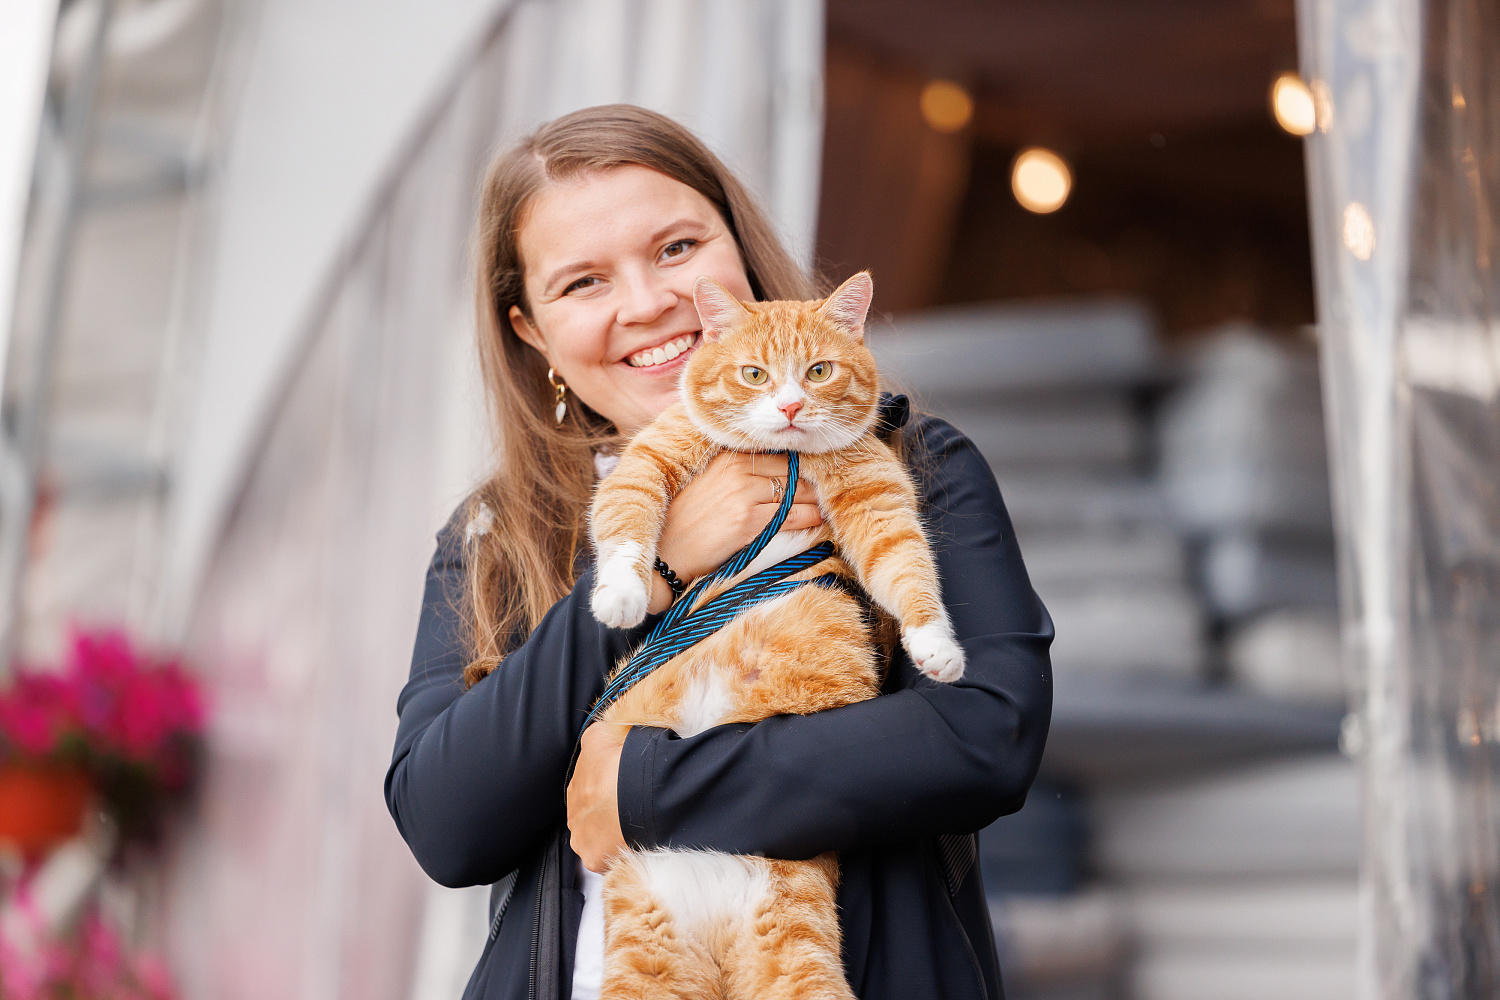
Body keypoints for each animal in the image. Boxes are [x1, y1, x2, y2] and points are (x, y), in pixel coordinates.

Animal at [582, 271, 960, 1000]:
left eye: (818, 372)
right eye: (753, 374)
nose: (788, 408)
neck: (781, 457)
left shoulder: (875, 500)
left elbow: (906, 565)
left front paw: (937, 645)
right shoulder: (650, 459)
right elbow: (628, 515)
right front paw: (621, 592)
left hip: (791, 948)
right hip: (649, 957)